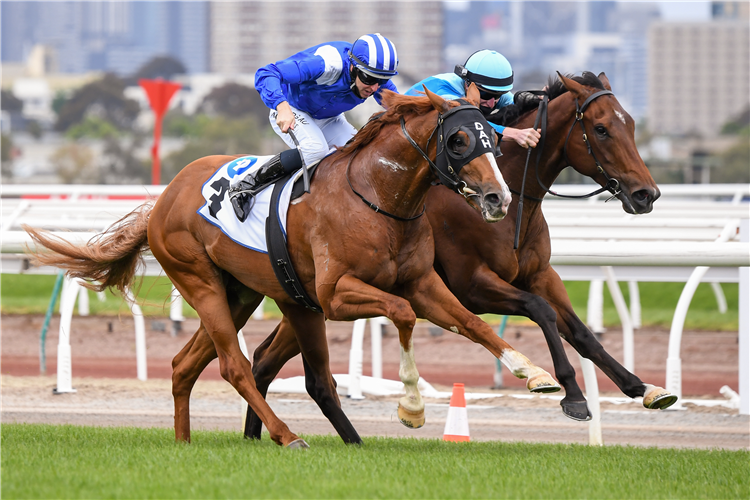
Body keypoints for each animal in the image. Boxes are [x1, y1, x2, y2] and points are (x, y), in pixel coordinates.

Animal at [26, 86, 560, 450]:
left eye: (494, 140)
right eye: (459, 140)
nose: (497, 198)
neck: (380, 200)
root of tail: (166, 195)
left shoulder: (423, 282)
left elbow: (470, 322)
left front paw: (535, 372)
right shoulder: (336, 295)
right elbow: (403, 314)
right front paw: (411, 407)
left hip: (242, 294)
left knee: (185, 365)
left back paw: (184, 441)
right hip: (201, 281)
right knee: (236, 366)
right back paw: (286, 435)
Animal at [244, 71, 680, 442]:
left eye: (631, 125)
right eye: (602, 129)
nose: (646, 194)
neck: (513, 197)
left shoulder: (540, 274)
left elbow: (582, 332)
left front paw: (644, 387)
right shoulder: (472, 285)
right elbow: (541, 311)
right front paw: (570, 393)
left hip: (313, 300)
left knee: (264, 358)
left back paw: (254, 434)